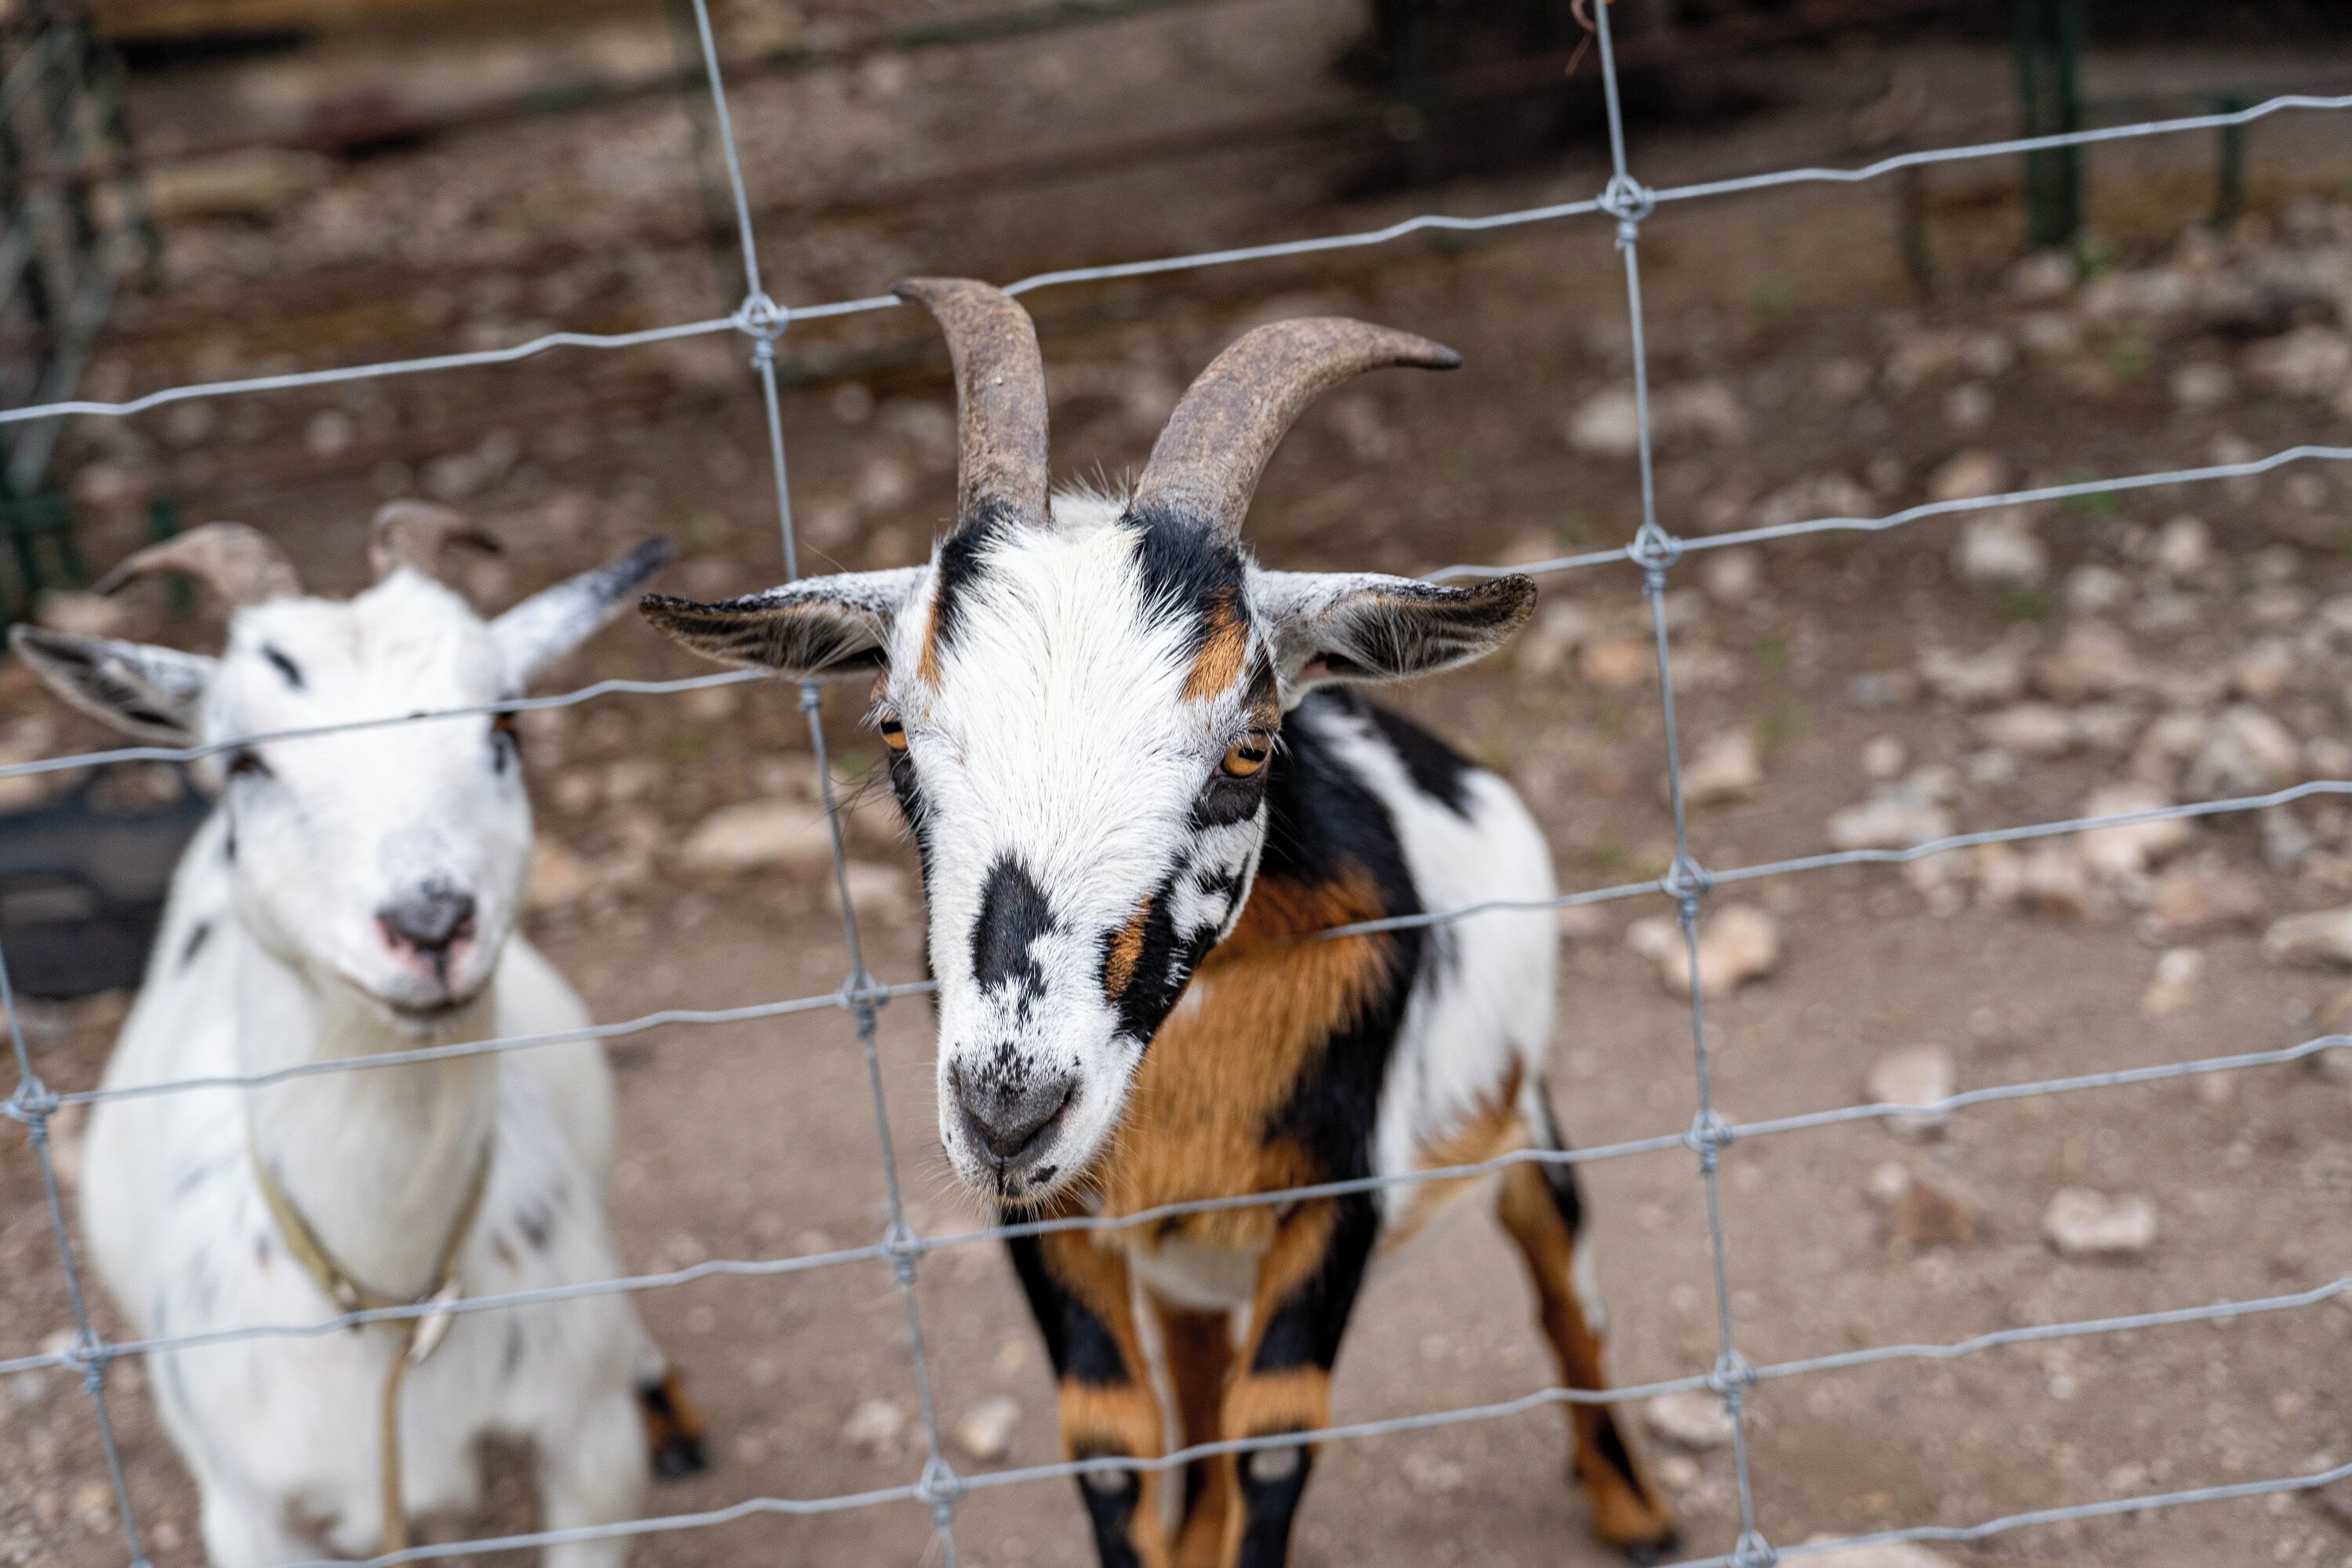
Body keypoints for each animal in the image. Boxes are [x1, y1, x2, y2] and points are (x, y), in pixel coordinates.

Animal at [11, 508, 704, 1568]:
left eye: (505, 725)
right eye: (245, 760)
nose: (431, 923)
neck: (393, 1296)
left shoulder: (591, 1459)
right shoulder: (249, 1508)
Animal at [642, 280, 1676, 1567]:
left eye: (1251, 743)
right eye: (891, 726)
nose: (1009, 1110)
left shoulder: (1339, 1199)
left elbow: (1276, 1434)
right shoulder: (1052, 1217)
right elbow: (1116, 1438)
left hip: (1519, 1110)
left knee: (1561, 1269)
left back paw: (1635, 1502)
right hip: (1189, 1252)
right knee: (1197, 1379)